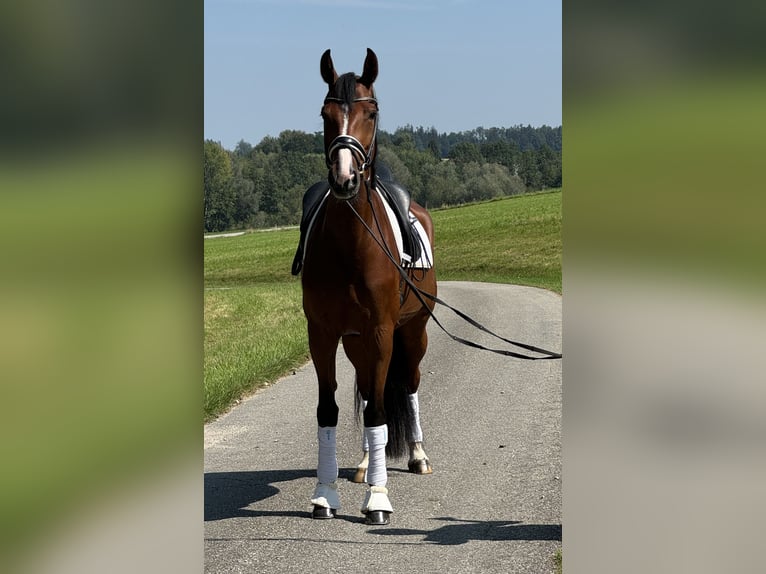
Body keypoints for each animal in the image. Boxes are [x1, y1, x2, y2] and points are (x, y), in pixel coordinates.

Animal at [304, 48, 440, 528]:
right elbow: (330, 411)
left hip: (412, 334)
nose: (344, 178)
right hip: (357, 343)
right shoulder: (323, 335)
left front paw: (378, 499)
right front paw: (325, 495)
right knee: (367, 392)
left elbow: (381, 409)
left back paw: (417, 455)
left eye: (372, 111)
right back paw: (365, 464)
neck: (351, 243)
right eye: (325, 113)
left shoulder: (383, 332)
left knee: (408, 386)